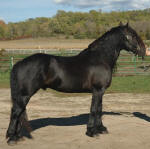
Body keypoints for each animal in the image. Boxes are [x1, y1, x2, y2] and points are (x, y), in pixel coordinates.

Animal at [5, 22, 145, 145]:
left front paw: (101, 129)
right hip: (25, 95)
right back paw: (11, 138)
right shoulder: (97, 90)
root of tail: (19, 63)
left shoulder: (101, 91)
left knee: (19, 112)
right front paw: (91, 132)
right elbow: (94, 109)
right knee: (16, 112)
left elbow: (99, 109)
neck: (100, 58)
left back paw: (17, 137)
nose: (144, 50)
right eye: (132, 35)